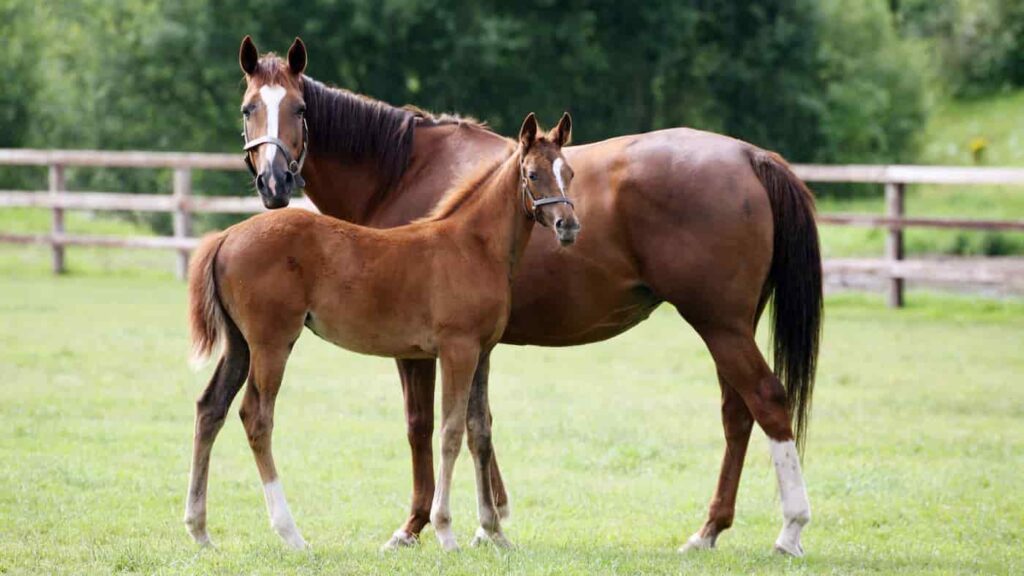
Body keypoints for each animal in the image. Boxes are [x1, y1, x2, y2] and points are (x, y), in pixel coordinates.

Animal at [185, 111, 581, 545]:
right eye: (532, 175)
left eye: (569, 173)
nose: (568, 225)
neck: (472, 246)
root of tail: (226, 236)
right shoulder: (457, 350)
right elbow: (450, 432)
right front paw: (446, 531)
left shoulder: (483, 352)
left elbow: (480, 432)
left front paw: (495, 533)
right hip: (271, 343)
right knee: (256, 416)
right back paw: (291, 535)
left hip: (239, 344)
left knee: (210, 407)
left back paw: (199, 529)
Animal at [234, 36, 823, 557]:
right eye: (248, 109)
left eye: (300, 108)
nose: (274, 182)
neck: (404, 170)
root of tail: (750, 156)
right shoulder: (471, 345)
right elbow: (477, 427)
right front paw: (486, 523)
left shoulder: (420, 348)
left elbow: (422, 426)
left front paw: (417, 525)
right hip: (729, 325)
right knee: (738, 413)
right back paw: (709, 530)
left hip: (720, 324)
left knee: (767, 400)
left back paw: (791, 529)